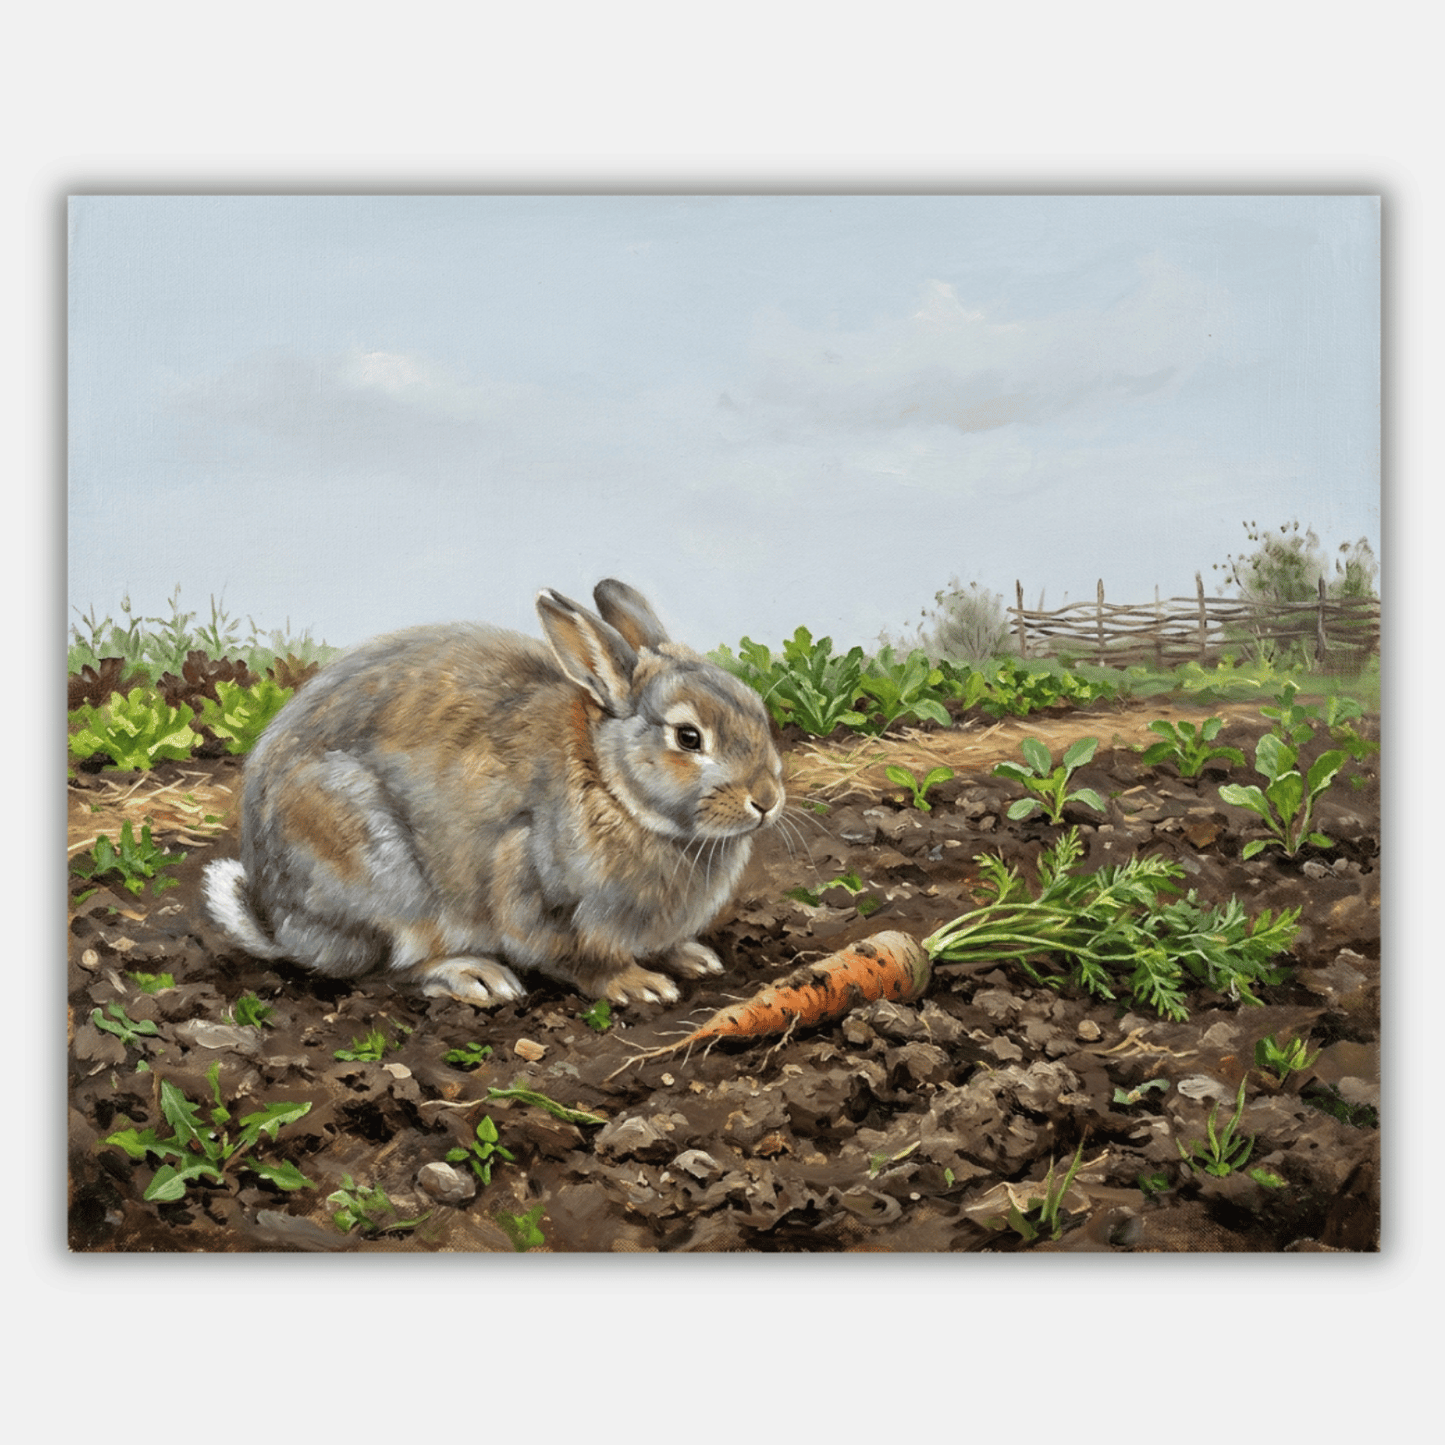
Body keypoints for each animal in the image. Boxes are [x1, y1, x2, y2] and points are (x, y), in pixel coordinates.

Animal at [202, 579, 785, 1008]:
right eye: (688, 738)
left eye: (756, 708)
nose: (766, 800)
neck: (611, 784)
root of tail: (280, 925)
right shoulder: (531, 884)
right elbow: (580, 958)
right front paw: (637, 985)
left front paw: (692, 957)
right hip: (379, 872)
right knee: (389, 965)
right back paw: (475, 977)